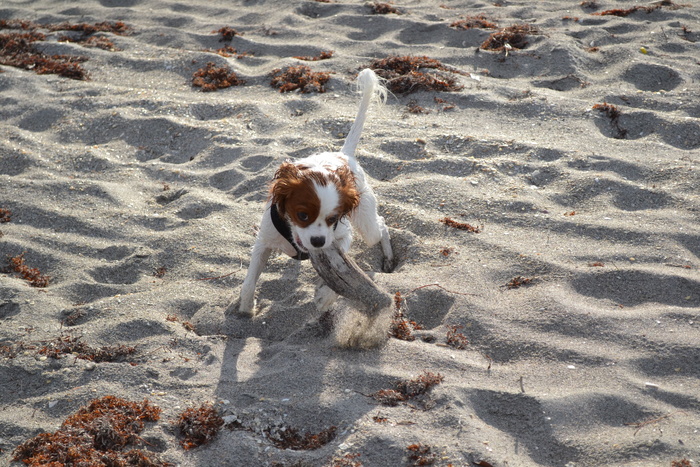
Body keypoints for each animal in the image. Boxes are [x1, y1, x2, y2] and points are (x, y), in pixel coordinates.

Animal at [238, 68, 394, 318]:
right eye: (302, 215)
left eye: (333, 219)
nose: (318, 242)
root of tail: (344, 154)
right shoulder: (263, 242)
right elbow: (249, 281)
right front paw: (245, 308)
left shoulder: (342, 235)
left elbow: (339, 274)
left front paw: (324, 298)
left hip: (367, 225)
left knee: (382, 226)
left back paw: (388, 258)